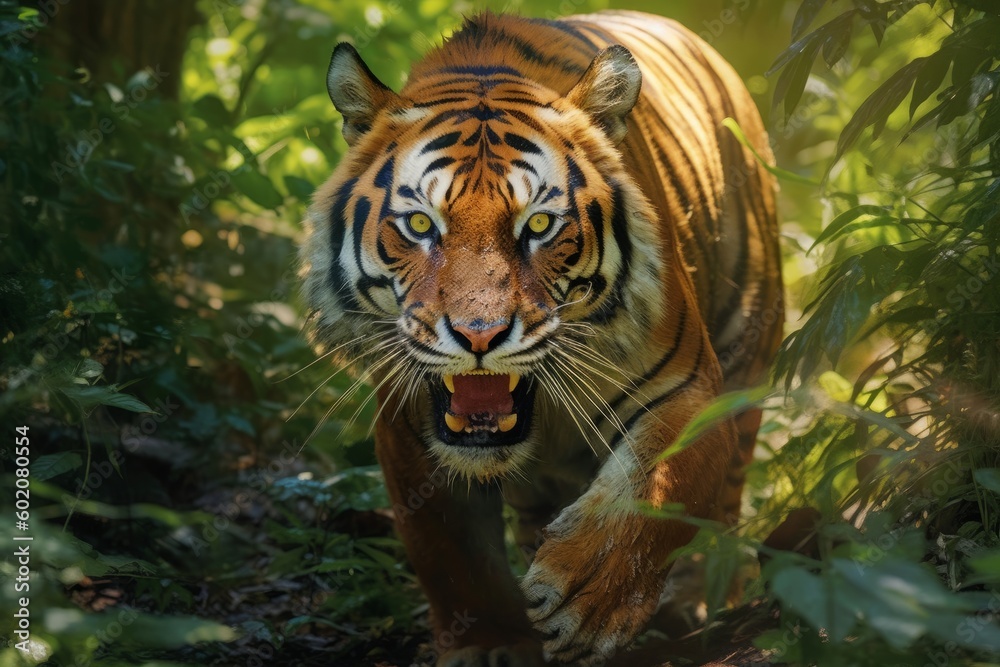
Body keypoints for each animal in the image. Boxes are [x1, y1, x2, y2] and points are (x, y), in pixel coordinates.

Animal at [300, 9, 782, 666]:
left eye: (539, 225)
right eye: (421, 224)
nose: (479, 336)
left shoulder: (688, 387)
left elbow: (656, 492)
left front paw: (585, 599)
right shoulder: (407, 426)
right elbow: (452, 552)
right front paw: (490, 643)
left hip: (748, 341)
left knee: (727, 498)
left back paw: (700, 597)